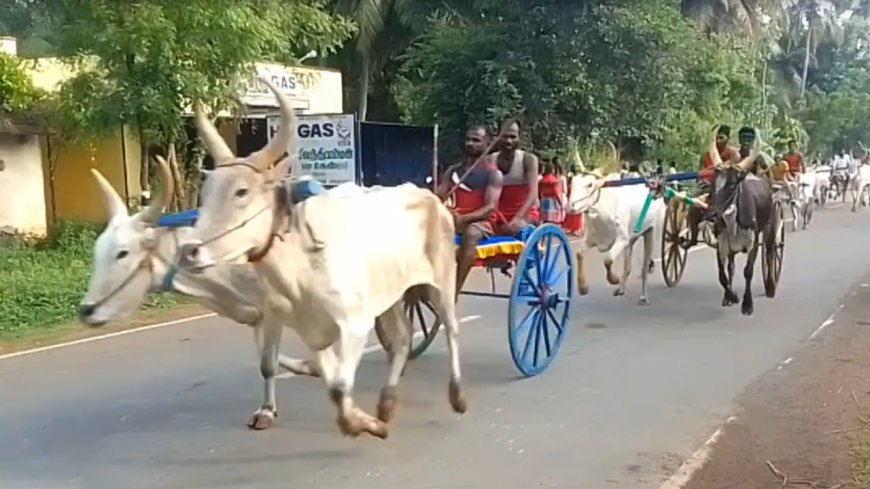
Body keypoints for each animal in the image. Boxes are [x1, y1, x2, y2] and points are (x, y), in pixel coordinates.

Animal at [708, 166, 776, 314]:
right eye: (711, 187)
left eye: (732, 186)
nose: (711, 215)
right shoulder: (720, 245)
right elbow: (722, 276)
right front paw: (731, 297)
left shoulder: (753, 244)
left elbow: (748, 272)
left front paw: (747, 304)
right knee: (731, 267)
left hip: (770, 226)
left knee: (770, 254)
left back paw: (771, 287)